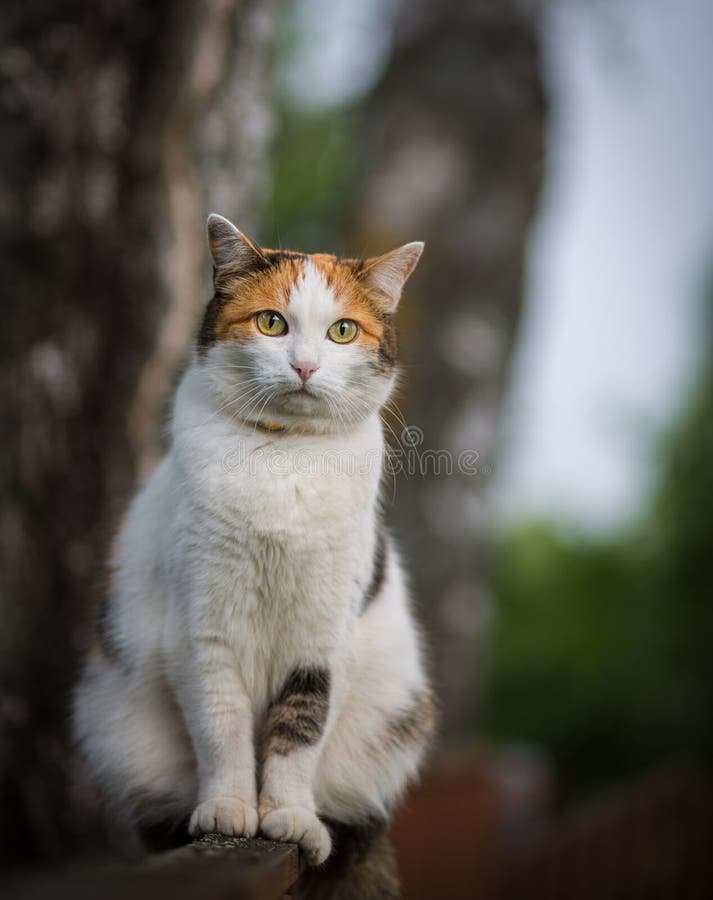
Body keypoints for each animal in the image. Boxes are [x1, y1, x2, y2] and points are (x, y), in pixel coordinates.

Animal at [72, 214, 434, 896]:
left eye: (343, 331)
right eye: (271, 323)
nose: (305, 366)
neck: (283, 458)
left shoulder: (323, 639)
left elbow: (301, 729)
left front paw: (288, 816)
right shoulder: (202, 631)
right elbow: (222, 727)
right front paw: (230, 811)